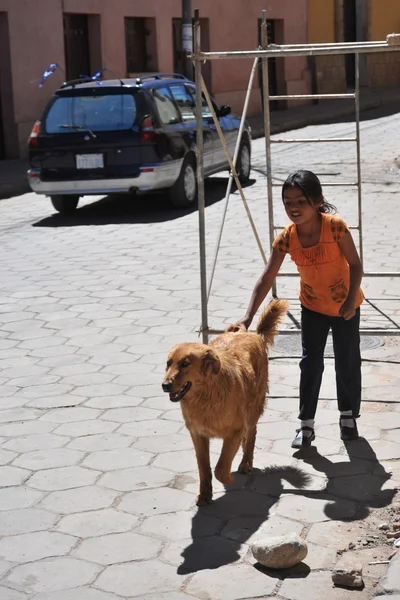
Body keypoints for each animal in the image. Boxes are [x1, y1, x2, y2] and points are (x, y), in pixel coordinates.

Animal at [162, 298, 288, 504]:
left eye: (185, 364)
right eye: (168, 363)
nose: (165, 385)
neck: (206, 396)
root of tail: (254, 335)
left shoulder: (234, 432)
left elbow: (220, 468)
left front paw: (229, 478)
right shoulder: (198, 434)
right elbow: (204, 469)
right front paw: (205, 495)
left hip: (253, 408)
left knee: (252, 433)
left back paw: (246, 462)